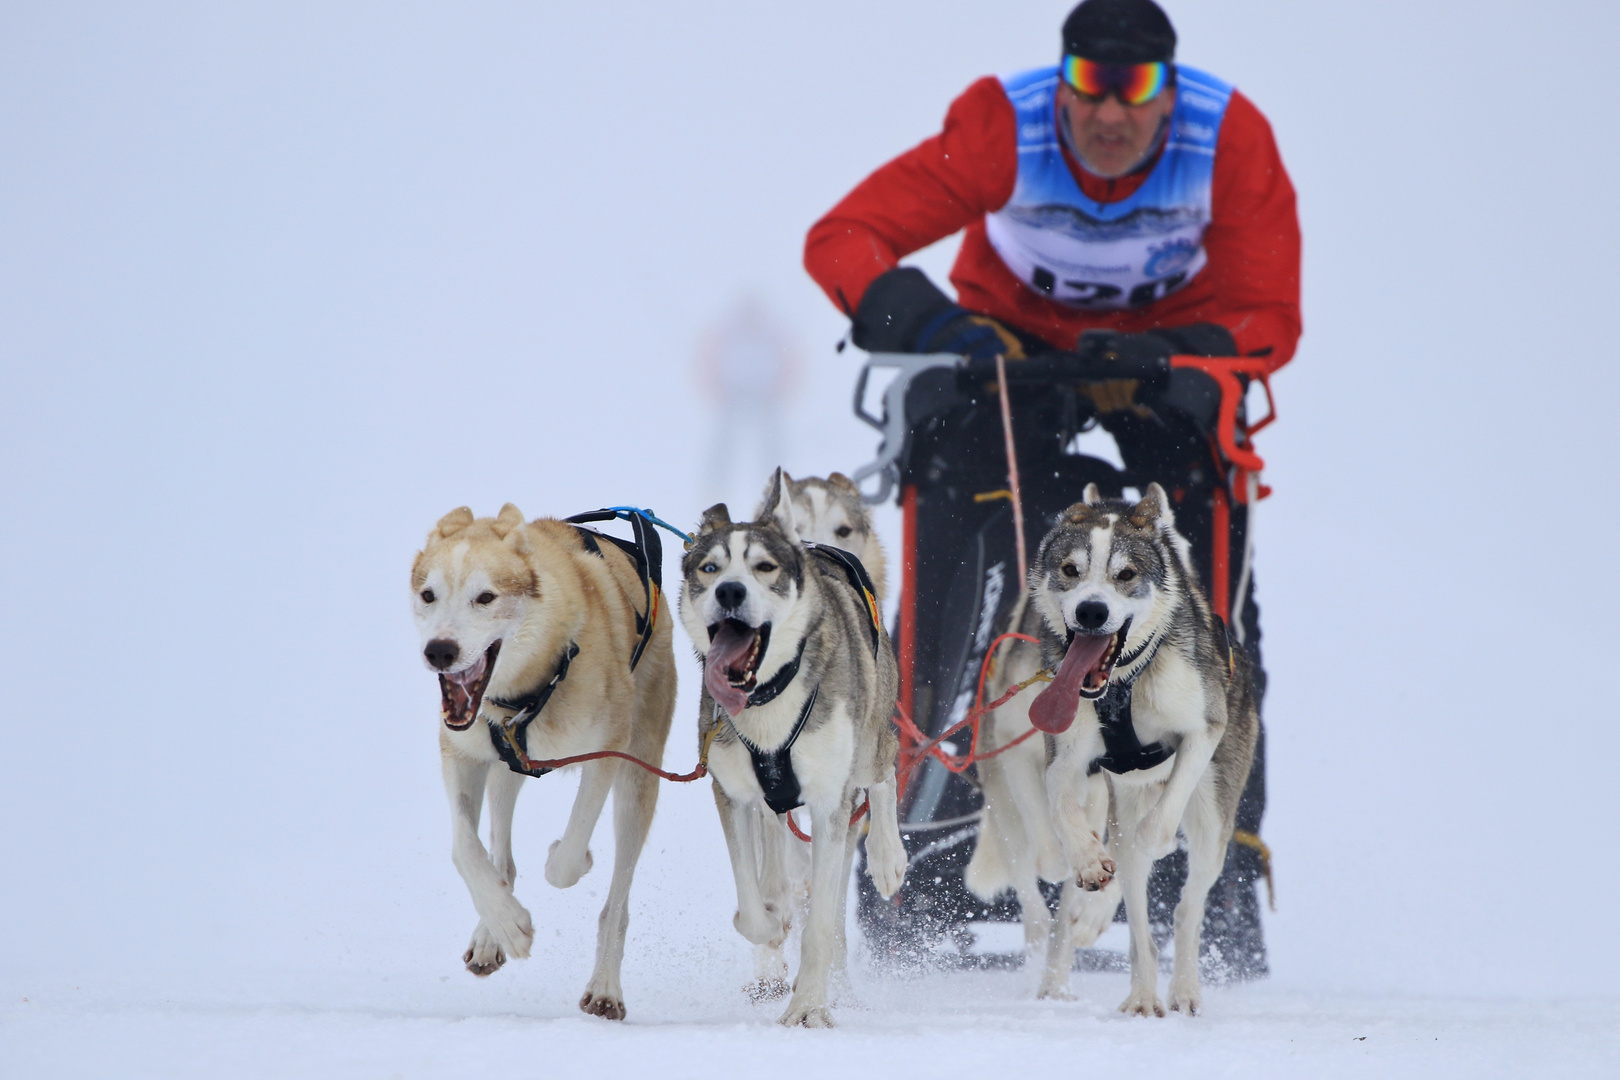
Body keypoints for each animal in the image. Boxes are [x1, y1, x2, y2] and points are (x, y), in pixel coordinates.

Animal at [417, 508, 677, 1023]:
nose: (439, 650)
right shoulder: (463, 754)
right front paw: (507, 922)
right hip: (504, 771)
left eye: (486, 597)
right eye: (428, 595)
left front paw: (570, 857)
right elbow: (465, 847)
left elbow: (568, 859)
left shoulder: (606, 754)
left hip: (638, 778)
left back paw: (605, 987)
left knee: (617, 901)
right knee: (501, 853)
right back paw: (491, 933)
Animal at [680, 469, 913, 1029]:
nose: (730, 590)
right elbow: (753, 906)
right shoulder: (732, 793)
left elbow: (822, 926)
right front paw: (771, 923)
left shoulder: (832, 802)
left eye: (764, 567)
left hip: (870, 742)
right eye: (709, 567)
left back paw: (887, 856)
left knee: (884, 771)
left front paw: (808, 1006)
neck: (768, 696)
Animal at [1017, 485, 1257, 1016]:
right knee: (1137, 924)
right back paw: (1142, 994)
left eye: (1125, 575)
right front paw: (1087, 859)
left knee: (1186, 906)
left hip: (1212, 818)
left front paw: (1157, 839)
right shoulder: (1067, 757)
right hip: (1110, 797)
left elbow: (1160, 822)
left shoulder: (1202, 731)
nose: (1091, 611)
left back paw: (1183, 989)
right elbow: (1062, 805)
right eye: (1070, 569)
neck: (1125, 683)